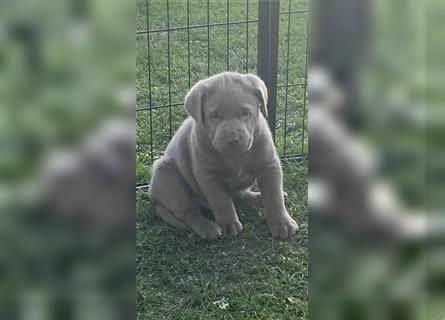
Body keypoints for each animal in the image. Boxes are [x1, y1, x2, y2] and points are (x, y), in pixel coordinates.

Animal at [149, 71, 298, 239]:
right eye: (214, 115)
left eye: (245, 113)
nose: (232, 140)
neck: (235, 156)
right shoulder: (208, 176)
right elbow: (221, 202)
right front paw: (228, 224)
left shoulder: (269, 165)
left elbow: (274, 197)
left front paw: (283, 224)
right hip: (167, 175)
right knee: (189, 213)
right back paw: (207, 227)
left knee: (241, 197)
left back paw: (260, 198)